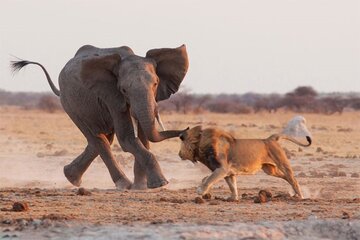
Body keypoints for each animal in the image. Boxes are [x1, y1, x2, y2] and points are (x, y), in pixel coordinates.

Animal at [11, 43, 188, 189]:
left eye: (156, 83)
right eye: (123, 90)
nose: (185, 130)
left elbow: (143, 138)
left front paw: (142, 187)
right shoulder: (112, 97)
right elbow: (127, 139)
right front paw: (160, 184)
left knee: (102, 139)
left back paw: (71, 177)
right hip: (70, 105)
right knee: (99, 140)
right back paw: (123, 184)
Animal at [179, 125, 310, 201]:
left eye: (182, 144)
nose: (179, 154)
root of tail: (270, 138)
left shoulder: (222, 169)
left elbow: (209, 179)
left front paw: (200, 190)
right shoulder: (228, 172)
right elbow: (232, 186)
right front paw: (233, 198)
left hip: (282, 164)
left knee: (293, 180)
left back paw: (301, 197)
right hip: (270, 170)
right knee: (286, 178)